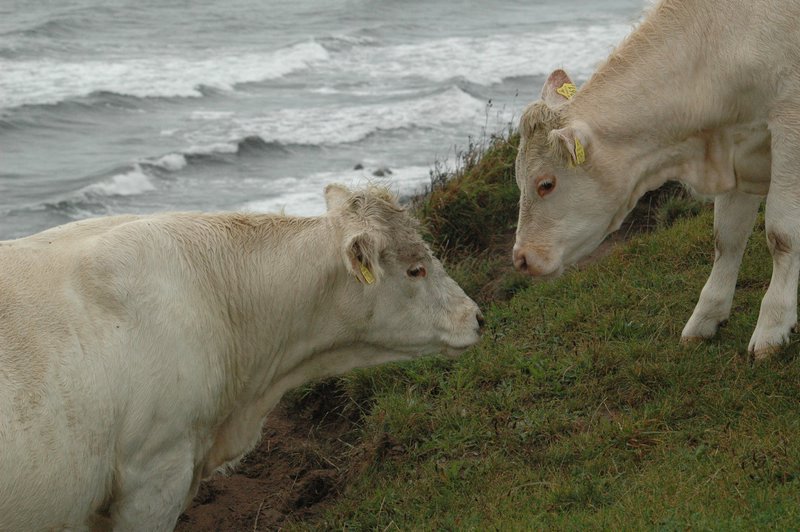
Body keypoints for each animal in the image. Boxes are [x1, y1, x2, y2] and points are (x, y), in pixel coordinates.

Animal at [512, 0, 800, 360]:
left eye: (546, 184)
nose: (521, 258)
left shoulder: (789, 126)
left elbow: (782, 234)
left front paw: (772, 328)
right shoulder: (739, 147)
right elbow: (727, 238)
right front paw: (705, 319)